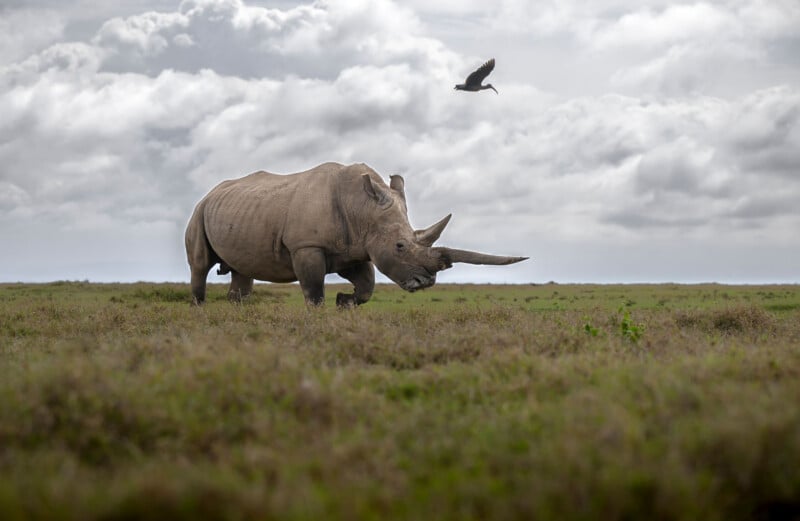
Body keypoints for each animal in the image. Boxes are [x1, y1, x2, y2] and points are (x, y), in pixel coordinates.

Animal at [185, 162, 528, 307]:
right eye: (400, 246)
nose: (426, 282)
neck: (362, 208)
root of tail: (210, 192)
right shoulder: (306, 246)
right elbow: (314, 291)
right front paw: (321, 315)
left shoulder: (355, 248)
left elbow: (367, 287)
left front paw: (344, 301)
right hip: (199, 211)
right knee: (200, 265)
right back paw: (200, 309)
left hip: (236, 211)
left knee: (242, 271)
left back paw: (238, 313)